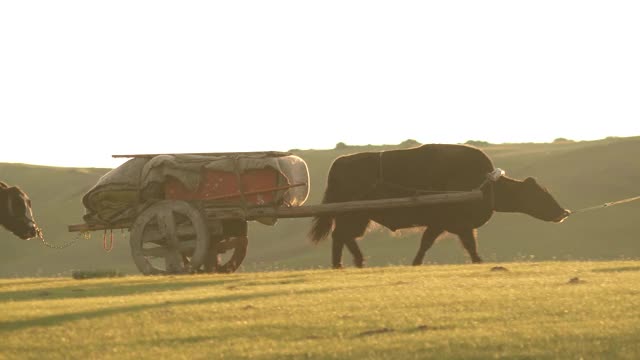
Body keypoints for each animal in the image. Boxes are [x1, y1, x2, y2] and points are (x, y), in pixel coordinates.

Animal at [310, 143, 568, 268]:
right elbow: (447, 245)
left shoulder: (452, 226)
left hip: (358, 218)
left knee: (343, 237)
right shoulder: (448, 223)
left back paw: (353, 263)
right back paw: (345, 264)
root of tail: (339, 163)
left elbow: (457, 245)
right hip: (354, 216)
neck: (483, 184)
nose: (564, 212)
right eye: (540, 194)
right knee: (341, 236)